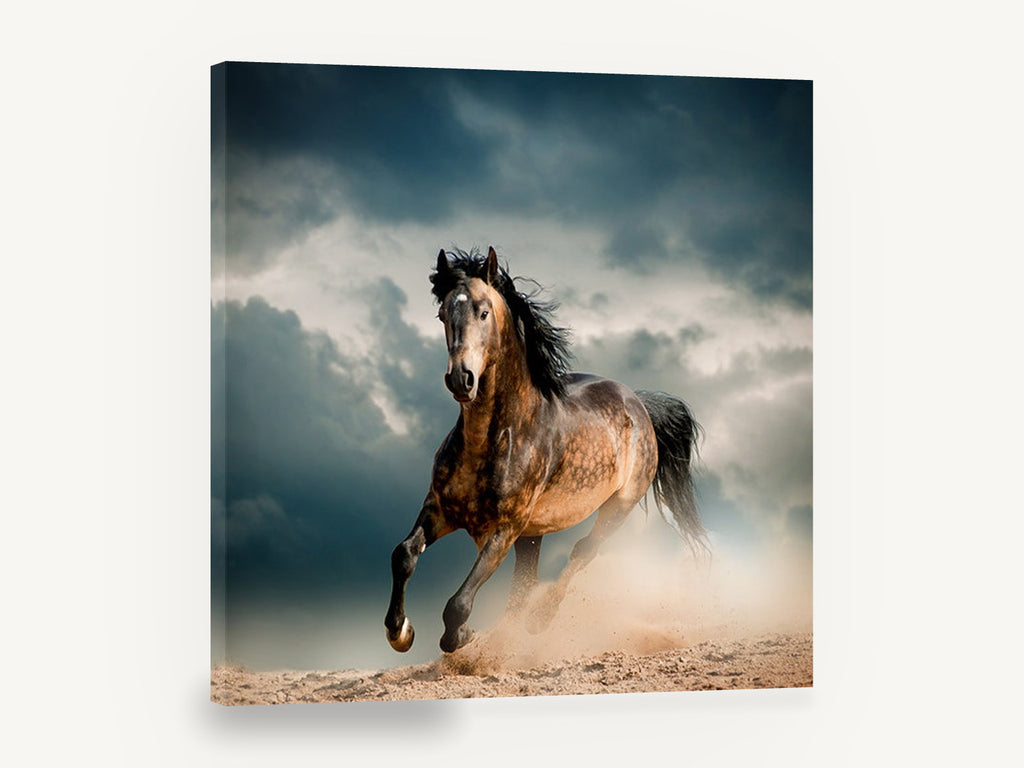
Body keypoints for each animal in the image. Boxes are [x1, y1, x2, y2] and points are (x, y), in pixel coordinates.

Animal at [384, 246, 707, 654]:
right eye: (442, 314)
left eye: (483, 311)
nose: (461, 379)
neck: (492, 440)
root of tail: (639, 403)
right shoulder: (440, 509)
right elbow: (403, 555)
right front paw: (400, 631)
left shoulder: (503, 529)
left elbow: (458, 603)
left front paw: (463, 636)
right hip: (532, 534)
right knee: (525, 584)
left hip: (616, 507)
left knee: (582, 551)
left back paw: (539, 619)